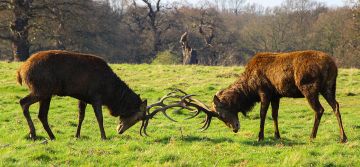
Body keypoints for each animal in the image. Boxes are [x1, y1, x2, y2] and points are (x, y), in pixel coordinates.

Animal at [16, 49, 174, 140]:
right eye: (138, 118)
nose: (120, 131)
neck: (111, 93)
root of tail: (21, 71)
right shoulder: (96, 96)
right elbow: (100, 118)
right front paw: (104, 136)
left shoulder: (83, 97)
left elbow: (81, 116)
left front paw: (77, 135)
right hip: (42, 89)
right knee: (23, 102)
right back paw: (33, 134)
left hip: (47, 93)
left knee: (42, 114)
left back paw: (51, 136)